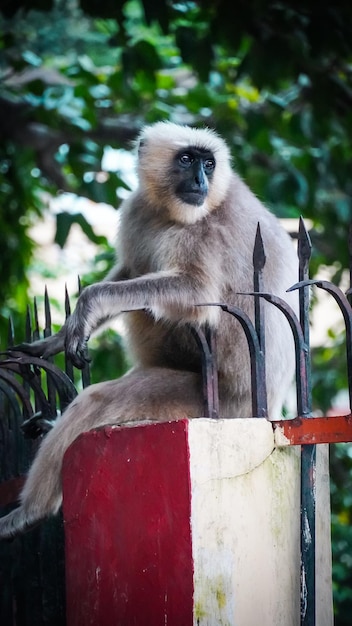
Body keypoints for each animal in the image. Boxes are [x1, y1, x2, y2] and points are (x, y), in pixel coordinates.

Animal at [0, 120, 298, 536]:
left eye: (208, 163)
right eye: (187, 160)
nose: (200, 180)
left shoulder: (204, 228)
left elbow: (195, 291)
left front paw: (87, 305)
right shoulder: (140, 207)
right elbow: (128, 270)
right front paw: (54, 340)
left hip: (204, 398)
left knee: (98, 400)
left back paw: (30, 512)